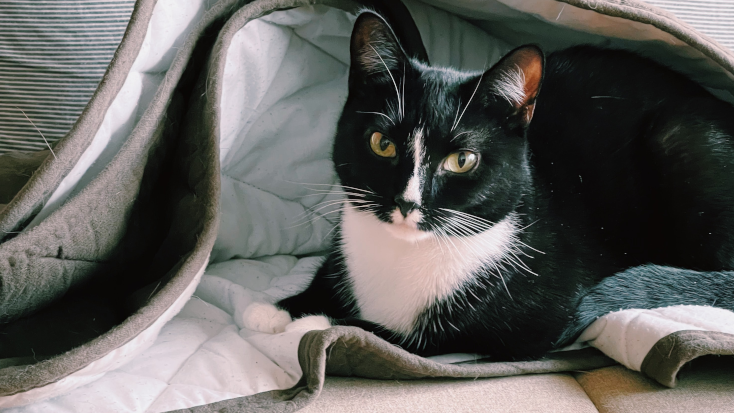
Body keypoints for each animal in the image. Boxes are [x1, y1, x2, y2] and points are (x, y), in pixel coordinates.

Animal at [244, 9, 734, 358]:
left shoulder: (539, 320)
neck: (404, 253)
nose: (406, 203)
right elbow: (328, 272)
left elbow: (421, 338)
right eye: (382, 143)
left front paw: (319, 325)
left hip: (679, 134)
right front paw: (277, 308)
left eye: (462, 160)